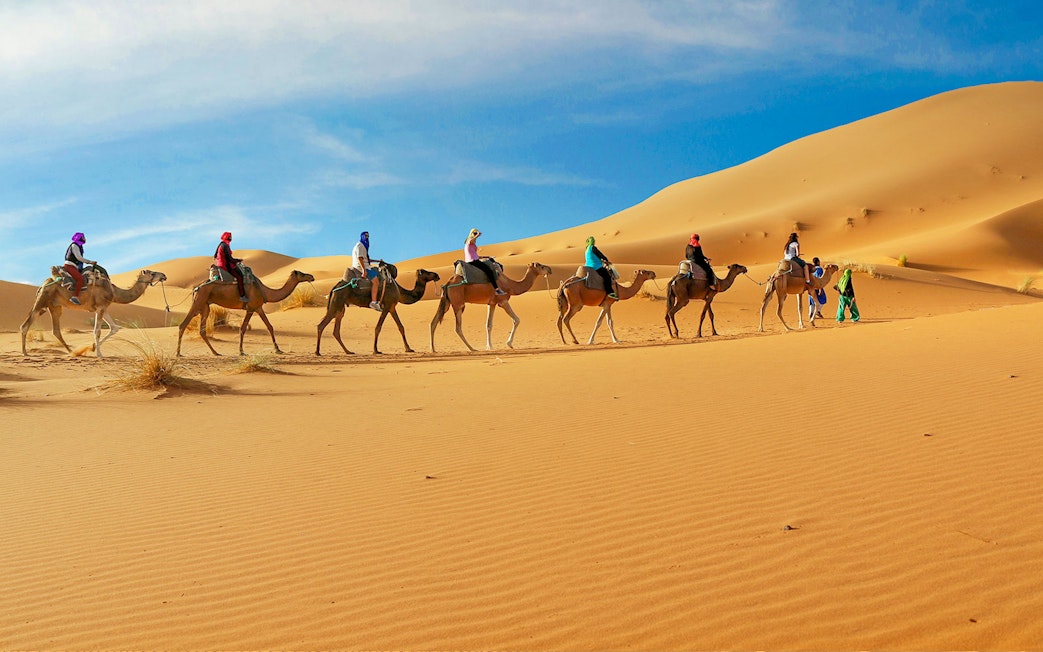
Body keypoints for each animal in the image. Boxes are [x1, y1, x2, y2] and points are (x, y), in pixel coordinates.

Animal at [20, 267, 168, 358]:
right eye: (152, 273)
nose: (164, 275)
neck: (114, 292)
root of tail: (44, 283)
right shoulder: (101, 307)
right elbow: (97, 331)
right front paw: (99, 354)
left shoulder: (102, 308)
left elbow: (114, 328)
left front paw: (92, 348)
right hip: (42, 302)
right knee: (25, 325)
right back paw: (25, 352)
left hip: (54, 306)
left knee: (55, 330)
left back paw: (72, 352)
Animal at [176, 269, 316, 356]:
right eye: (302, 274)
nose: (312, 276)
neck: (266, 291)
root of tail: (196, 288)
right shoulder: (251, 308)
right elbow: (243, 328)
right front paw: (241, 351)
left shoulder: (258, 308)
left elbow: (269, 326)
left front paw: (278, 349)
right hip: (198, 301)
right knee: (183, 325)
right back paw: (178, 353)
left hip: (205, 306)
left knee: (202, 330)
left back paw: (216, 352)